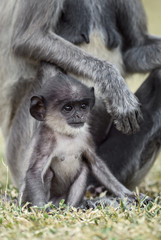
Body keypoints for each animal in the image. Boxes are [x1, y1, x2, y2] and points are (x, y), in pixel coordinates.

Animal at [20, 71, 136, 208]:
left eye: (83, 106)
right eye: (68, 108)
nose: (79, 115)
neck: (66, 135)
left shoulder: (86, 136)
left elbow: (96, 164)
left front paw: (128, 195)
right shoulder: (45, 138)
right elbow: (35, 171)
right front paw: (41, 209)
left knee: (84, 167)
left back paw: (72, 208)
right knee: (48, 172)